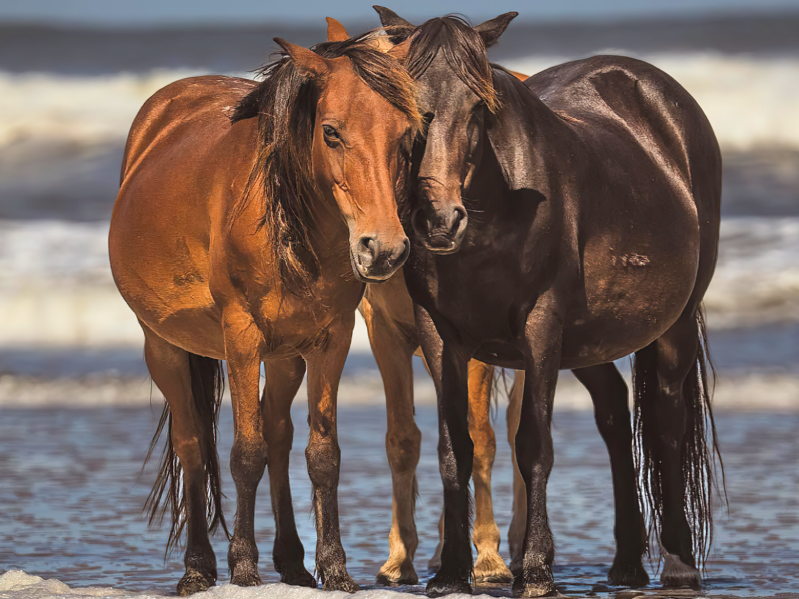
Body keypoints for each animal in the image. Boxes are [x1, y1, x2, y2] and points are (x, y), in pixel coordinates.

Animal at [110, 36, 422, 596]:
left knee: (279, 435)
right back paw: (198, 568)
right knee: (194, 445)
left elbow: (322, 455)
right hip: (164, 347)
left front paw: (335, 569)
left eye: (406, 134)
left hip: (285, 357)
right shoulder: (241, 337)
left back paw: (294, 564)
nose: (383, 248)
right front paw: (244, 569)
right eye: (331, 132)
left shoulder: (331, 340)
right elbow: (244, 454)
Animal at [376, 7, 724, 596]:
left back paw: (679, 566)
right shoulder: (440, 334)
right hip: (589, 342)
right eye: (405, 106)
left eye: (480, 106)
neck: (495, 214)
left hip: (670, 327)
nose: (439, 220)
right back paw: (626, 562)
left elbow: (533, 444)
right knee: (614, 414)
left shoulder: (540, 325)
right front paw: (451, 571)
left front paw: (536, 570)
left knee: (666, 422)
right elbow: (454, 448)